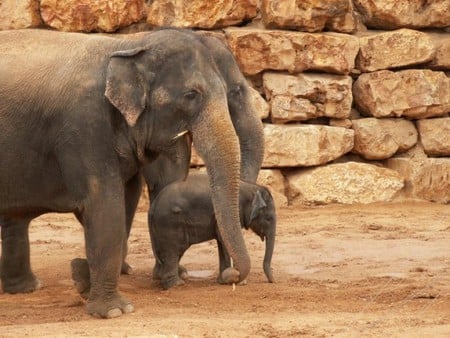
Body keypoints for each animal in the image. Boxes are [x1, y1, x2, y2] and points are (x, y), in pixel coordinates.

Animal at [0, 27, 248, 318]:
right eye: (190, 95)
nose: (231, 276)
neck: (130, 44)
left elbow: (126, 202)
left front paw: (81, 278)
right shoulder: (85, 127)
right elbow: (106, 204)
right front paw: (114, 311)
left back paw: (27, 288)